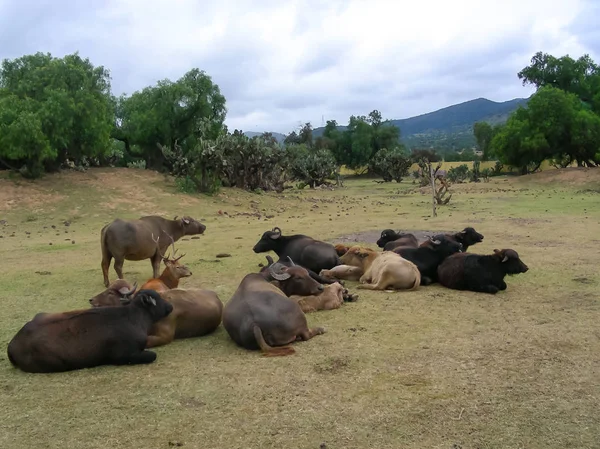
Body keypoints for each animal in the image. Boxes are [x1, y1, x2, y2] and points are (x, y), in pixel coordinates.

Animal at [7, 288, 172, 372]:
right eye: (158, 298)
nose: (170, 306)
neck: (133, 317)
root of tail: (13, 343)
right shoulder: (125, 356)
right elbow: (152, 355)